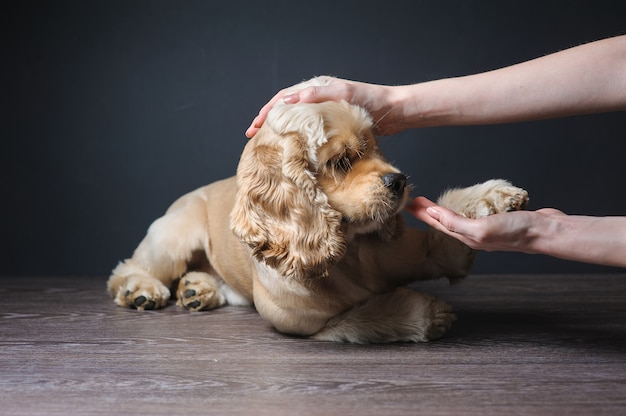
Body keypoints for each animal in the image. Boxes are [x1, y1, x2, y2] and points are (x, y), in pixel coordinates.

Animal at [108, 77, 528, 342]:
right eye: (341, 161)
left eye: (374, 147)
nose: (399, 181)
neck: (352, 252)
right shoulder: (303, 324)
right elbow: (363, 319)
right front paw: (428, 313)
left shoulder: (434, 253)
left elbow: (448, 228)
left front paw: (492, 196)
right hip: (175, 234)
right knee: (129, 267)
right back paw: (142, 291)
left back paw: (198, 288)